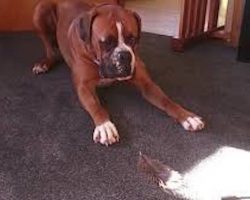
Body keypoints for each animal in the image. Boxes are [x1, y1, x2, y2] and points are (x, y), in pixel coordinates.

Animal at [32, 0, 205, 146]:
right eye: (106, 42)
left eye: (132, 39)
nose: (124, 55)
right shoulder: (83, 87)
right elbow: (95, 105)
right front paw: (104, 126)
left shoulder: (147, 84)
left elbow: (166, 100)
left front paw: (187, 116)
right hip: (40, 10)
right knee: (49, 48)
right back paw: (43, 63)